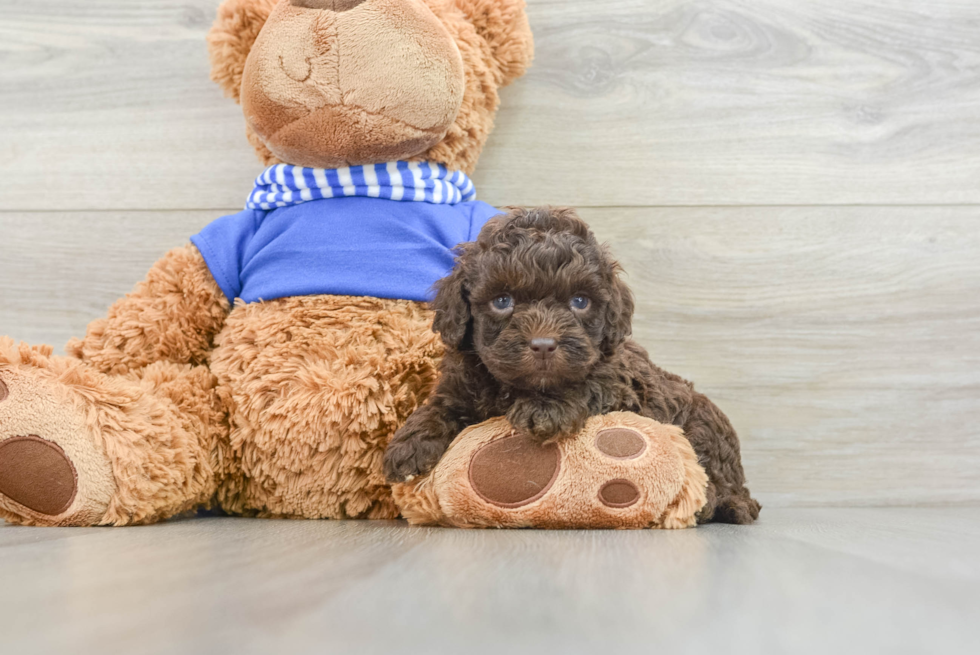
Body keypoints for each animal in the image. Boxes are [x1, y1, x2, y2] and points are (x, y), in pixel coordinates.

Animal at [380, 208, 756, 524]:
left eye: (580, 301)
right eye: (502, 301)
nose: (544, 344)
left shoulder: (618, 380)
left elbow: (588, 384)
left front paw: (546, 408)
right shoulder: (462, 383)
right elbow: (440, 406)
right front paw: (408, 445)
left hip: (704, 430)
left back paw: (711, 504)